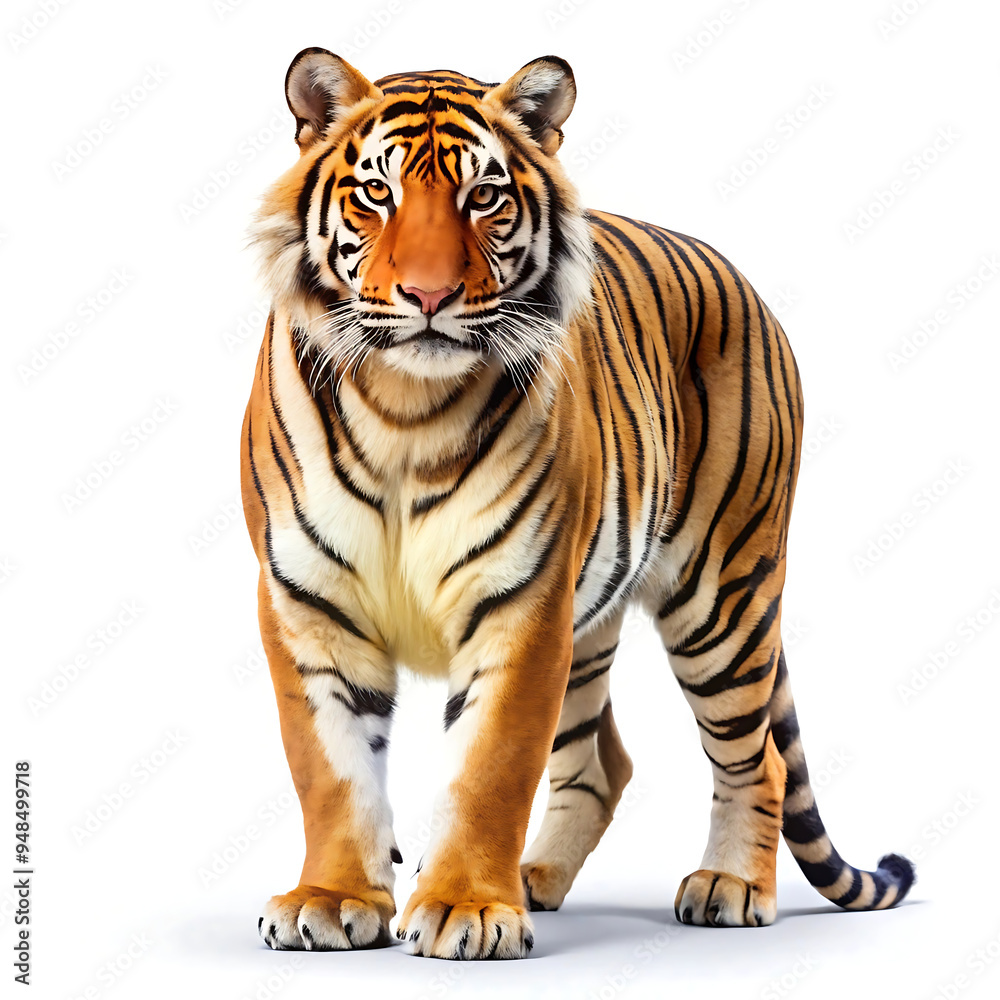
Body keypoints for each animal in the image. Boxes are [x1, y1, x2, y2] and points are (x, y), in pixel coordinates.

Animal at [240, 48, 915, 960]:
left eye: (482, 196)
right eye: (376, 192)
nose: (428, 296)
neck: (403, 409)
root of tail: (743, 279)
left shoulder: (520, 605)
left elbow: (489, 767)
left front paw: (465, 908)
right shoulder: (308, 602)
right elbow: (330, 770)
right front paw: (332, 898)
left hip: (723, 597)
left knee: (759, 758)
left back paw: (731, 885)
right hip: (592, 623)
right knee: (603, 764)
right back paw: (536, 878)